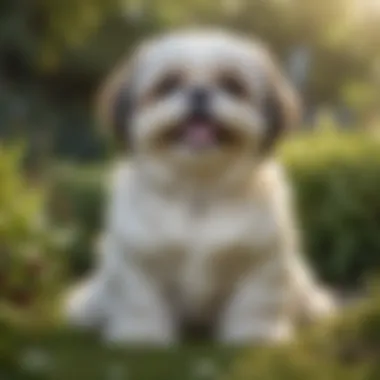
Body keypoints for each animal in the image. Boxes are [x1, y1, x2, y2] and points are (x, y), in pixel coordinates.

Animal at [65, 29, 336, 344]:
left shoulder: (262, 263)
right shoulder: (138, 262)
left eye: (232, 85)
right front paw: (142, 336)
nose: (199, 92)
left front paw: (255, 334)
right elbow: (140, 300)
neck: (198, 190)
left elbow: (256, 302)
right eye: (168, 84)